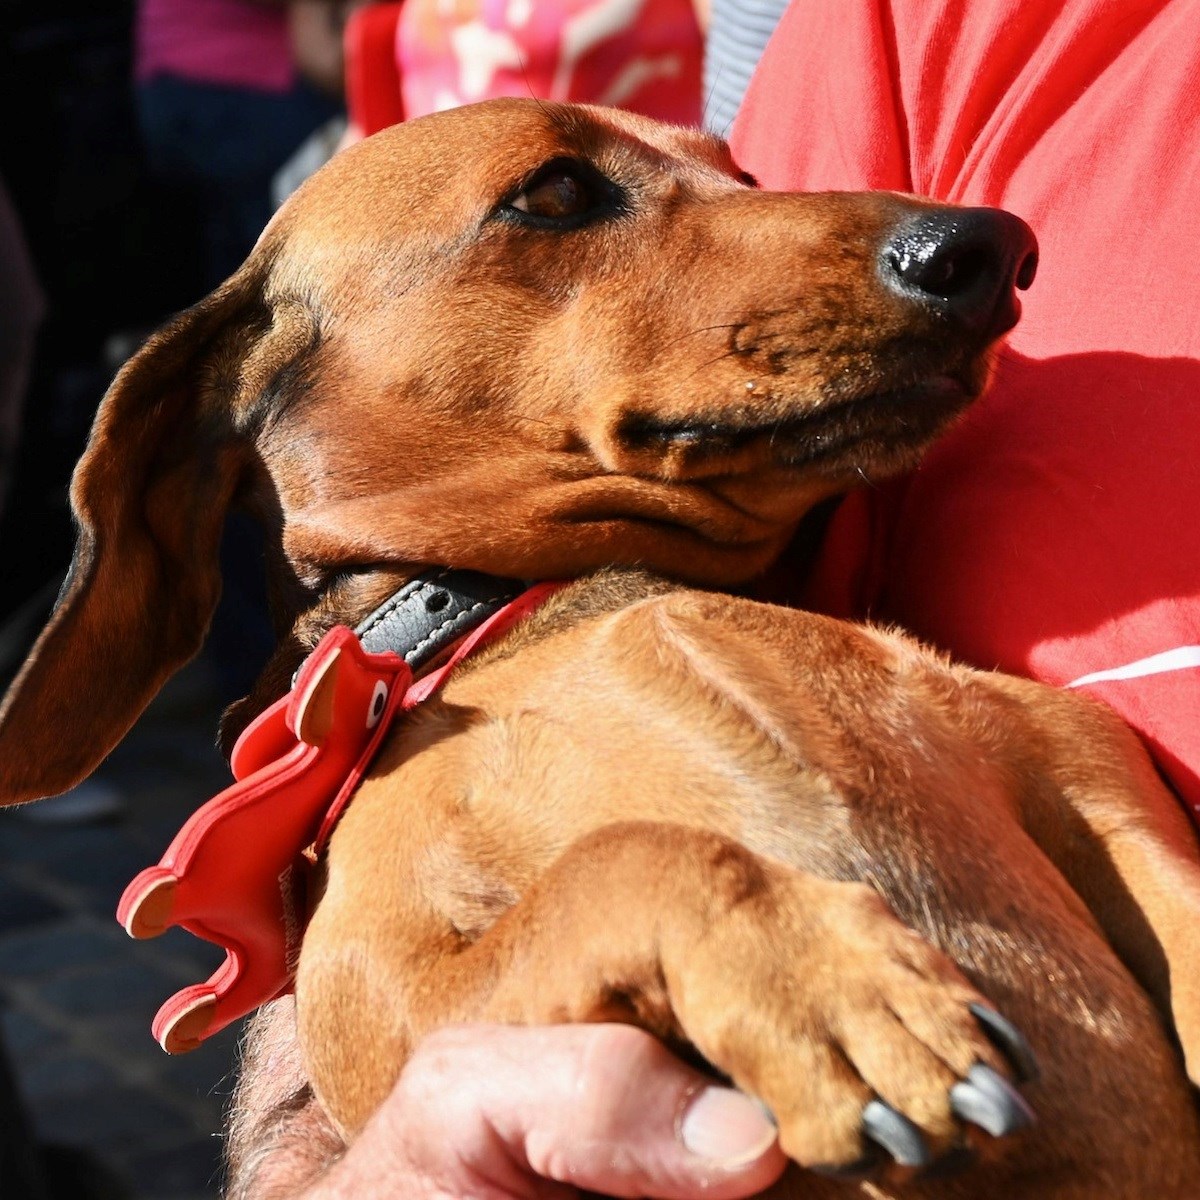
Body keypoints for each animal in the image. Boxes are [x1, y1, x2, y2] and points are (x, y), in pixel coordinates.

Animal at [2, 103, 1200, 1200]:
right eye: (557, 191)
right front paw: (818, 983)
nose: (990, 246)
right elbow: (623, 858)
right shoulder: (395, 1001)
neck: (545, 603)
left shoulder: (1083, 767)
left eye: (743, 173)